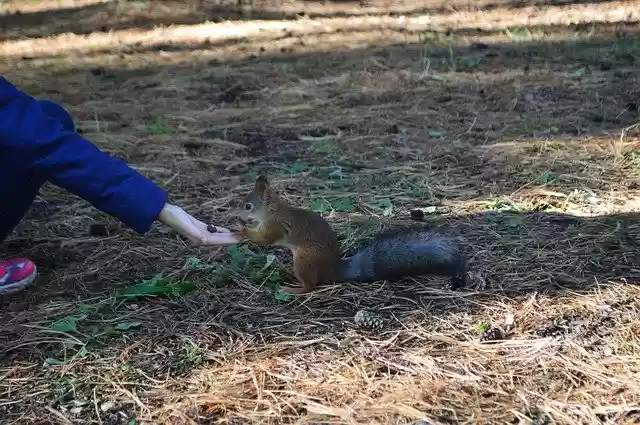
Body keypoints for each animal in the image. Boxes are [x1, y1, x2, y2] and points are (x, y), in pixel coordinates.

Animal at [233, 175, 467, 295]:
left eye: (247, 206)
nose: (236, 215)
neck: (273, 212)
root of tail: (333, 270)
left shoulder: (275, 227)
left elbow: (265, 239)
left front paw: (241, 231)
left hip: (305, 260)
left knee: (311, 285)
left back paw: (294, 289)